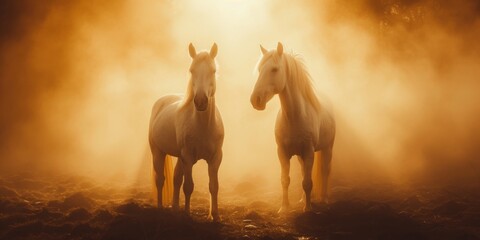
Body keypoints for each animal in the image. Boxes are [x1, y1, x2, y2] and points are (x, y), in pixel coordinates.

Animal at [149, 43, 224, 221]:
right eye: (191, 70)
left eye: (213, 71)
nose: (201, 101)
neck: (203, 126)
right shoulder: (188, 158)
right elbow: (189, 186)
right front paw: (187, 214)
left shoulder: (216, 158)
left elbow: (214, 186)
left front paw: (215, 216)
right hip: (158, 152)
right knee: (160, 179)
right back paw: (161, 207)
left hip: (179, 156)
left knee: (176, 178)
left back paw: (175, 208)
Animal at [249, 42, 336, 212]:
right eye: (260, 69)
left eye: (274, 69)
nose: (255, 100)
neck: (294, 117)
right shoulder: (283, 153)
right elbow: (286, 180)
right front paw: (284, 207)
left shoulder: (309, 152)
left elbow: (308, 182)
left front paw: (308, 209)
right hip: (301, 156)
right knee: (304, 172)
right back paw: (303, 199)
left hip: (327, 148)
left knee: (325, 171)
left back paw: (324, 199)